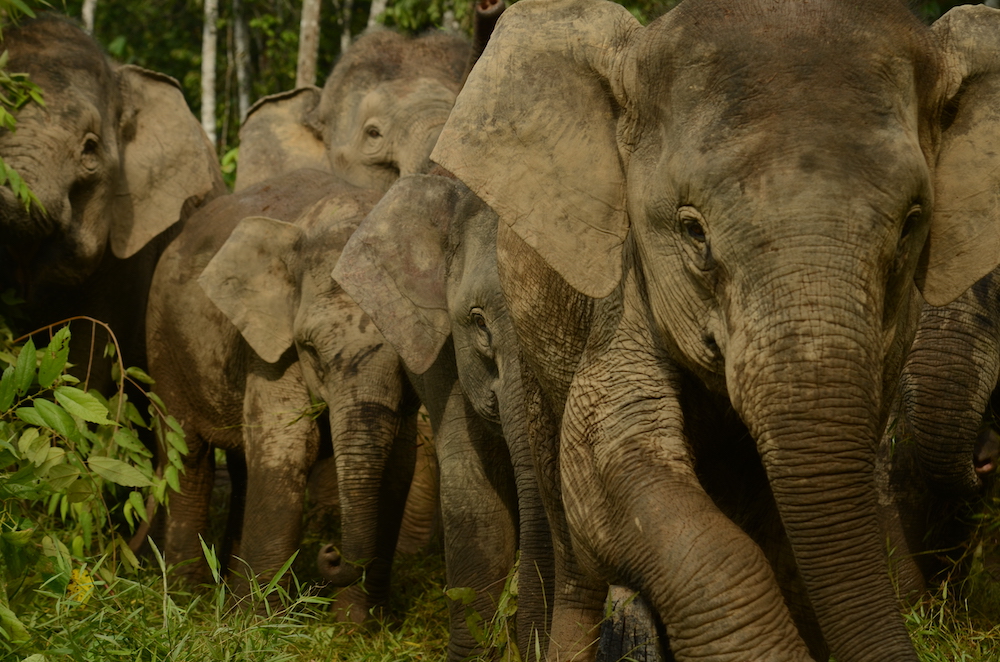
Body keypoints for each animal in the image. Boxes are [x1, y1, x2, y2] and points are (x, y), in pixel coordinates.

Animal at [426, 1, 1000, 662]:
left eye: (911, 225)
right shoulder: (624, 288)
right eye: (692, 231)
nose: (986, 461)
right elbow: (608, 459)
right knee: (572, 538)